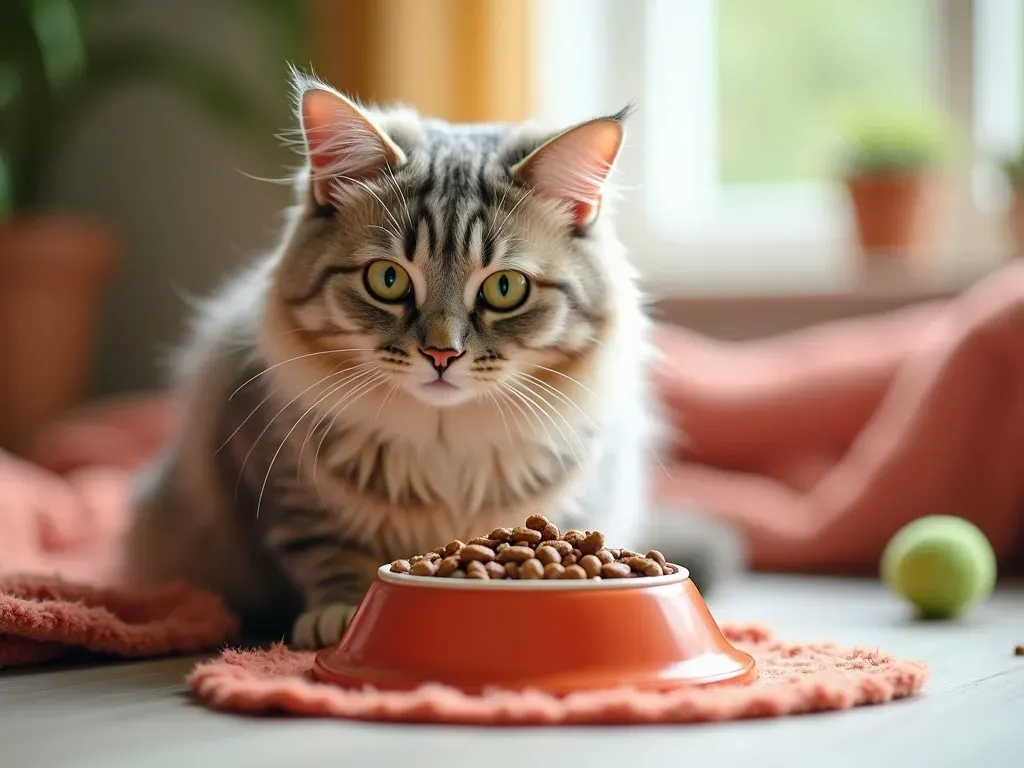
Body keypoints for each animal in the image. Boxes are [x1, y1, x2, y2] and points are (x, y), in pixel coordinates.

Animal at [125, 70, 745, 651]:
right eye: (388, 279)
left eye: (504, 289)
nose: (441, 353)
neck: (444, 441)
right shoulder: (280, 486)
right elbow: (326, 552)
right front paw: (340, 616)